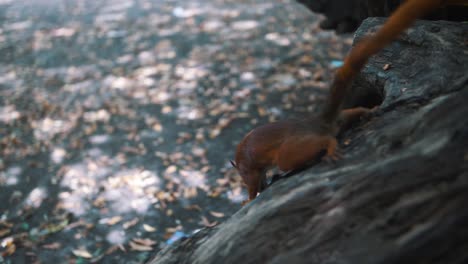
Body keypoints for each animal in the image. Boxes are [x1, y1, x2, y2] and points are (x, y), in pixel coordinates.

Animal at [232, 0, 462, 203]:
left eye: (241, 177)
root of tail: (318, 123)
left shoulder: (249, 170)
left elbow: (252, 185)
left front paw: (247, 199)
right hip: (336, 121)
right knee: (347, 115)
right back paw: (368, 111)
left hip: (289, 152)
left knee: (314, 146)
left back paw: (330, 147)